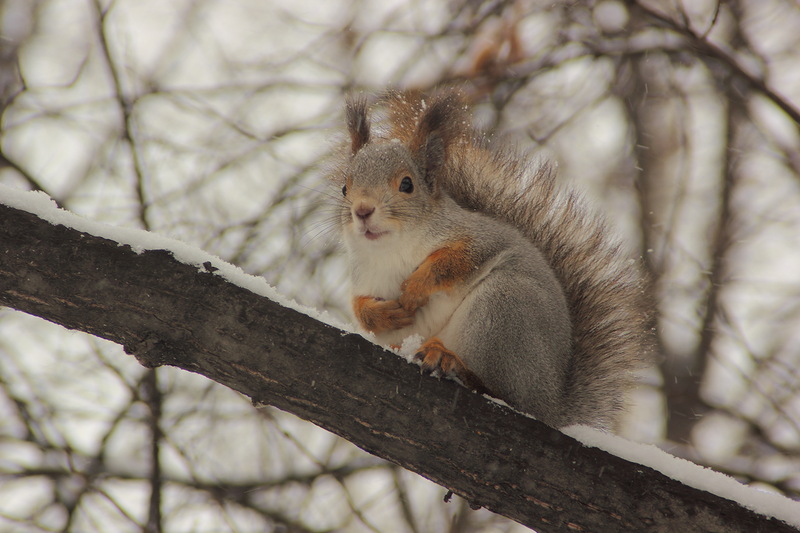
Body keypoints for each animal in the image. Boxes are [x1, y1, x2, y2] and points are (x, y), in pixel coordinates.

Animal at [330, 88, 648, 428]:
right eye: (344, 188)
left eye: (407, 184)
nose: (362, 211)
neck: (392, 250)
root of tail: (550, 402)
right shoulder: (365, 276)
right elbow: (359, 307)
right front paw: (383, 314)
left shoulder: (479, 239)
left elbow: (455, 261)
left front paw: (416, 287)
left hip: (502, 308)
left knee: (502, 390)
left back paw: (451, 362)